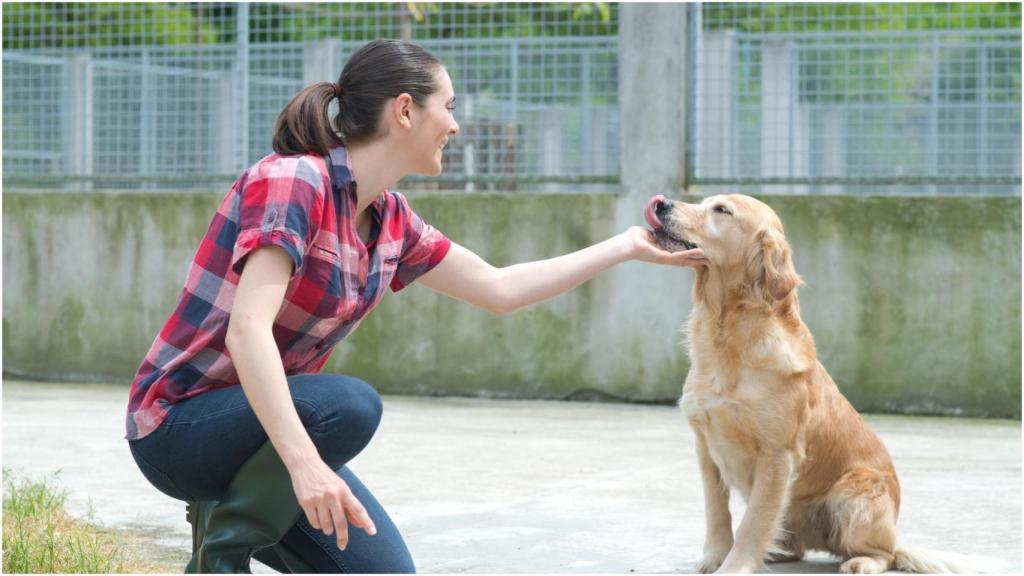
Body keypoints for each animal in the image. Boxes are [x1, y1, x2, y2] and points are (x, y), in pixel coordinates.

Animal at [643, 194, 962, 569]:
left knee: (885, 552)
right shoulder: (706, 445)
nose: (662, 203)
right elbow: (717, 512)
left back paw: (862, 562)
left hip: (854, 496)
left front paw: (734, 566)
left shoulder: (776, 455)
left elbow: (754, 522)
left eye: (722, 211)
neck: (728, 333)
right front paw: (715, 558)